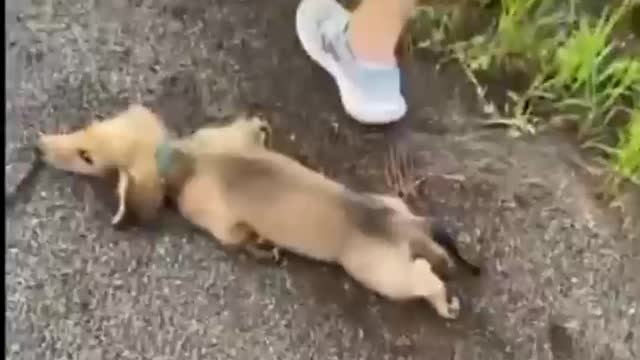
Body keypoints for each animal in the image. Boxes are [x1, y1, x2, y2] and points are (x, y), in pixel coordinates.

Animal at [155, 134, 480, 318]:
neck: (205, 160)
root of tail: (398, 224)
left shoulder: (219, 221)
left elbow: (237, 238)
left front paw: (262, 248)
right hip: (397, 211)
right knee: (434, 253)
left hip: (382, 274)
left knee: (424, 278)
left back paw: (444, 303)